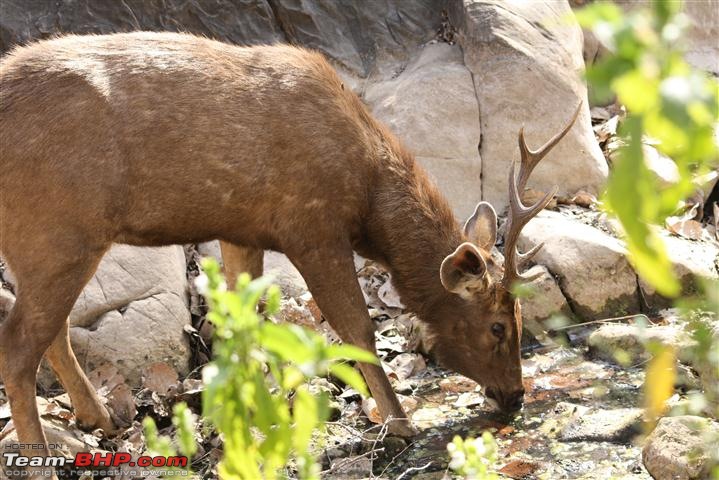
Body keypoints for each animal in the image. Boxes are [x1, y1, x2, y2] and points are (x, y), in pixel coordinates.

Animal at [0, 32, 584, 472]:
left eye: (521, 315)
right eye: (497, 326)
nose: (515, 396)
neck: (368, 196)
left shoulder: (243, 229)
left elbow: (242, 326)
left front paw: (250, 419)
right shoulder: (311, 225)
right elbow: (357, 328)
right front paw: (399, 423)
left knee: (52, 331)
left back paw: (100, 418)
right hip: (56, 229)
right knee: (19, 343)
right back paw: (43, 455)